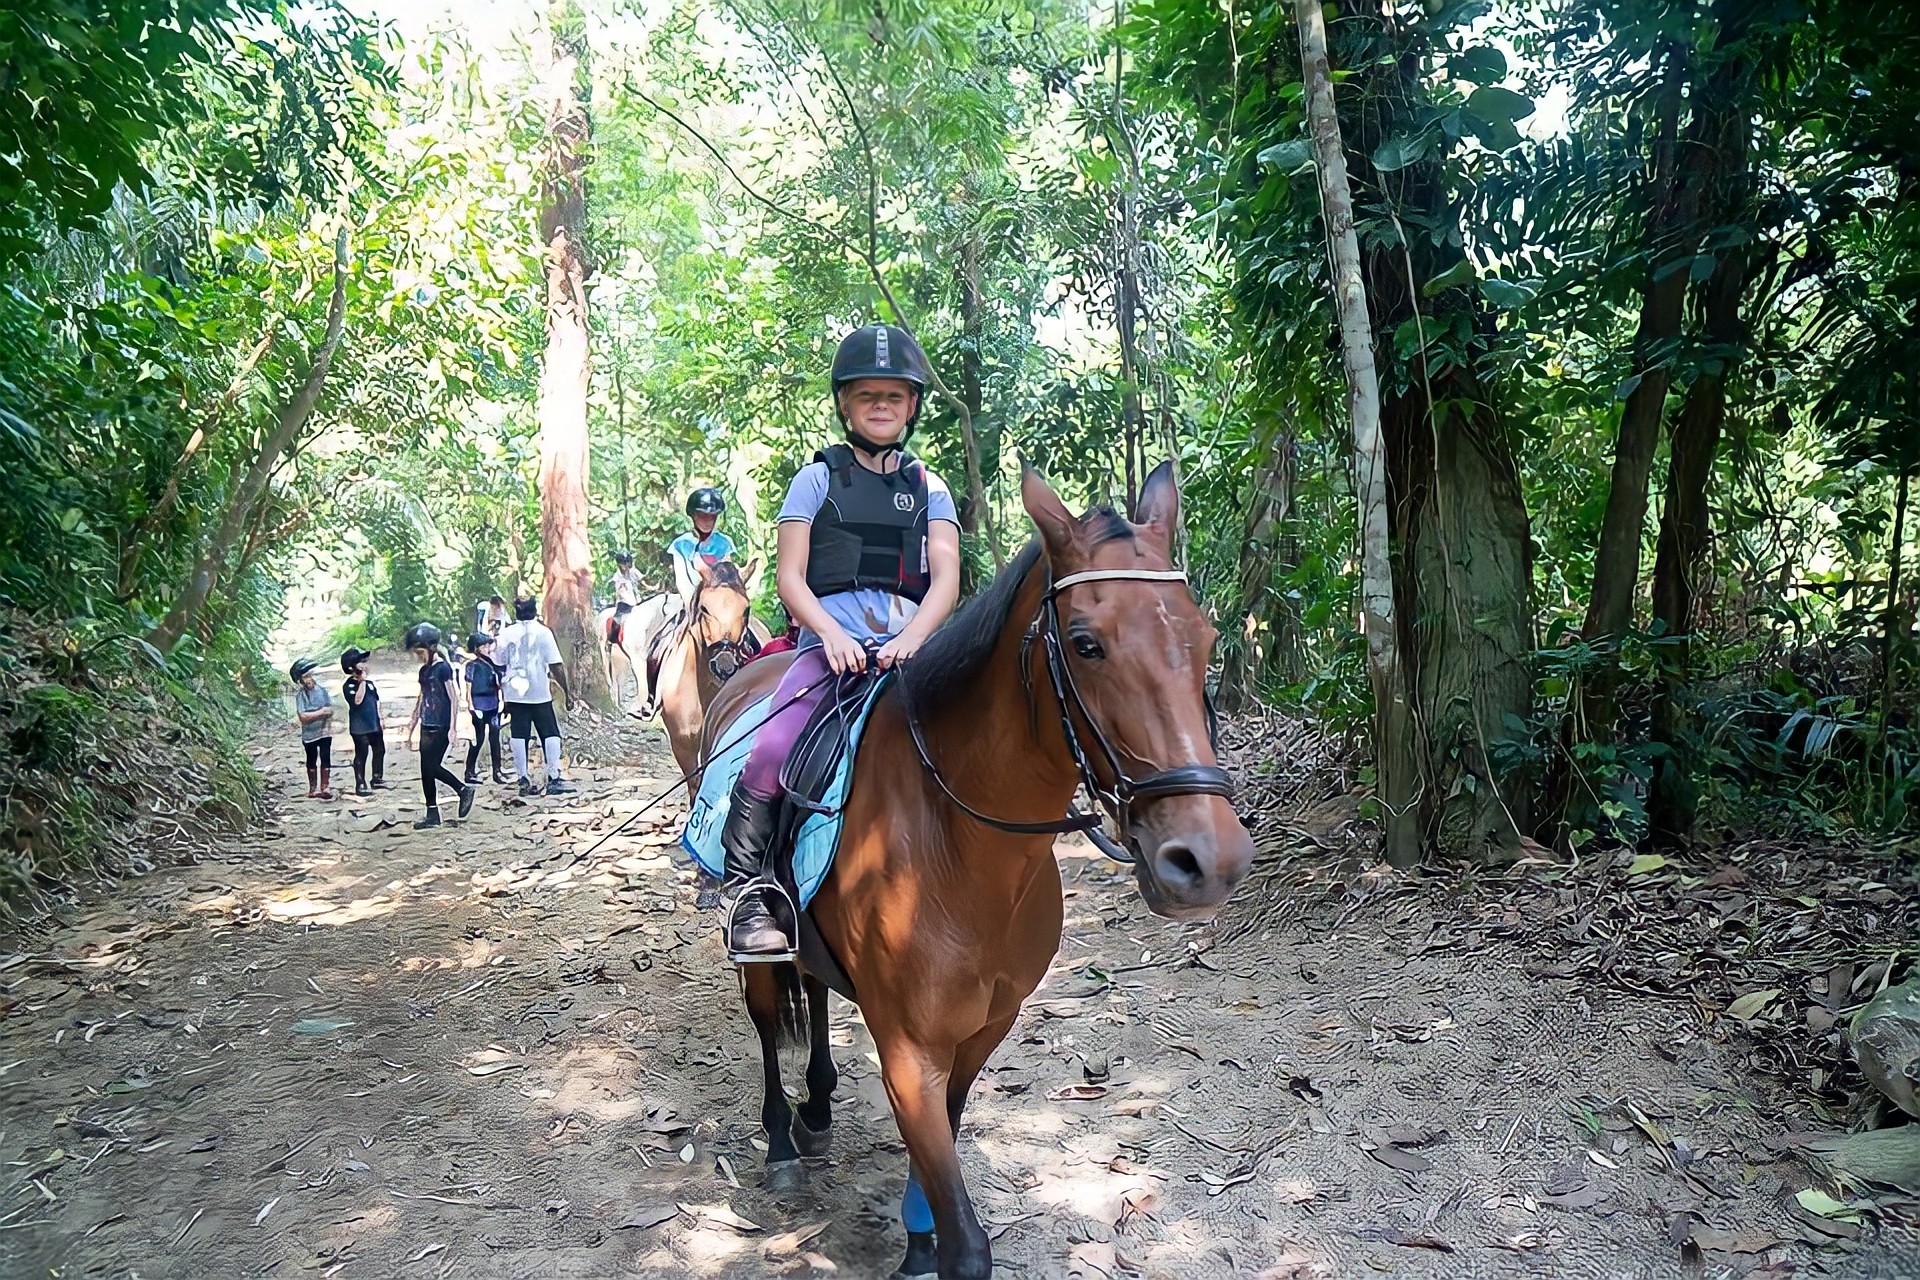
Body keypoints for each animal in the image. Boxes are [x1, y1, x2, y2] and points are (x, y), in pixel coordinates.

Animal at [698, 462, 1251, 1280]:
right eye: (1085, 644)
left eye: (1205, 637)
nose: (1208, 860)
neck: (962, 848)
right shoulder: (907, 1049)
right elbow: (967, 1247)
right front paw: (931, 1245)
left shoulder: (984, 1030)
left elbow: (939, 1165)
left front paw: (916, 1240)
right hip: (755, 948)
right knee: (769, 1020)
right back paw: (781, 1144)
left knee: (816, 995)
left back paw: (820, 1107)